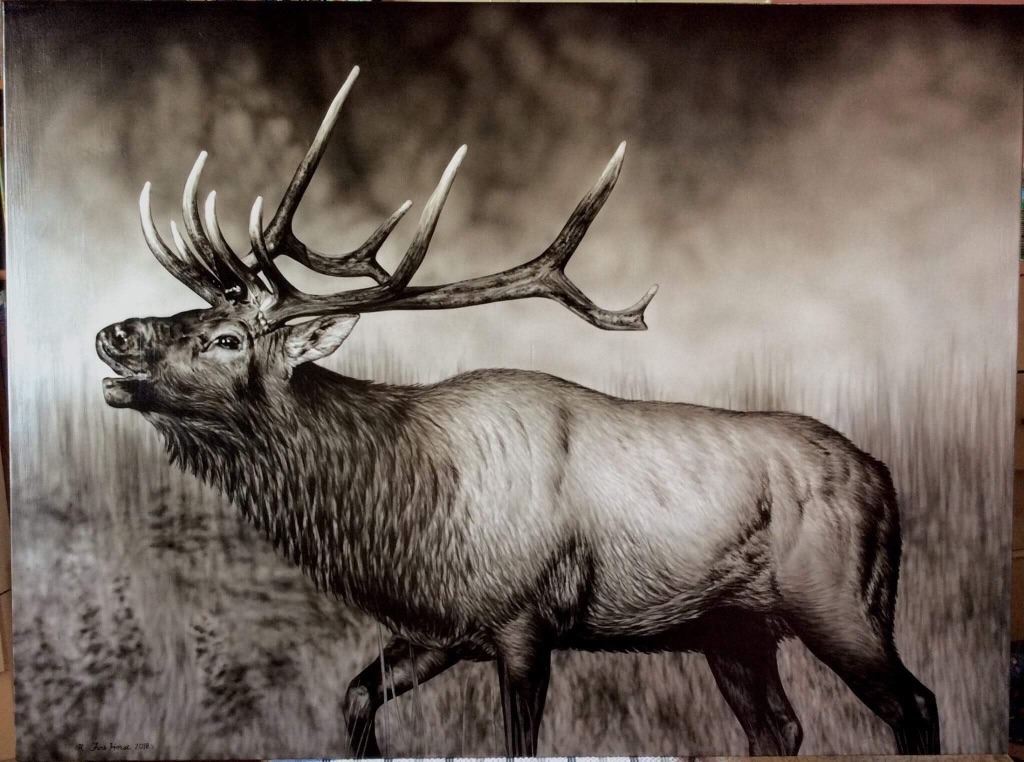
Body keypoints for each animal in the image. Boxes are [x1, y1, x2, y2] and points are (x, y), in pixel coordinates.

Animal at [96, 67, 939, 758]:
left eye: (227, 337)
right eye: (194, 314)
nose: (114, 333)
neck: (402, 515)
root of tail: (884, 477)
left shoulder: (524, 622)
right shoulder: (438, 628)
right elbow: (356, 698)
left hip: (841, 601)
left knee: (916, 703)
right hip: (733, 630)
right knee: (780, 729)